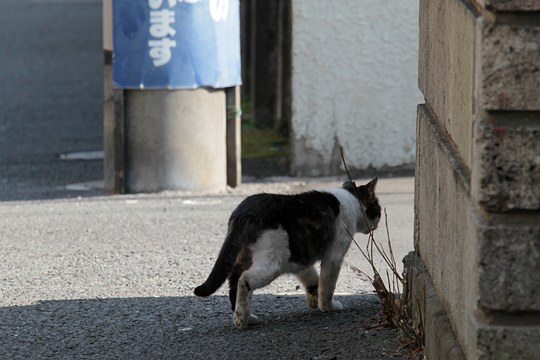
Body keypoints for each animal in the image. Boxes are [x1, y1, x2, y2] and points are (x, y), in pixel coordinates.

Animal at [194, 178, 380, 330]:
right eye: (377, 208)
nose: (378, 221)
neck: (351, 200)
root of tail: (246, 209)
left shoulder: (299, 258)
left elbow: (313, 279)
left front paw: (314, 299)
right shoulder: (334, 256)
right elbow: (327, 285)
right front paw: (327, 307)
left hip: (246, 256)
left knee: (233, 280)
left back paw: (246, 317)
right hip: (273, 263)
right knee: (244, 279)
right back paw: (241, 320)